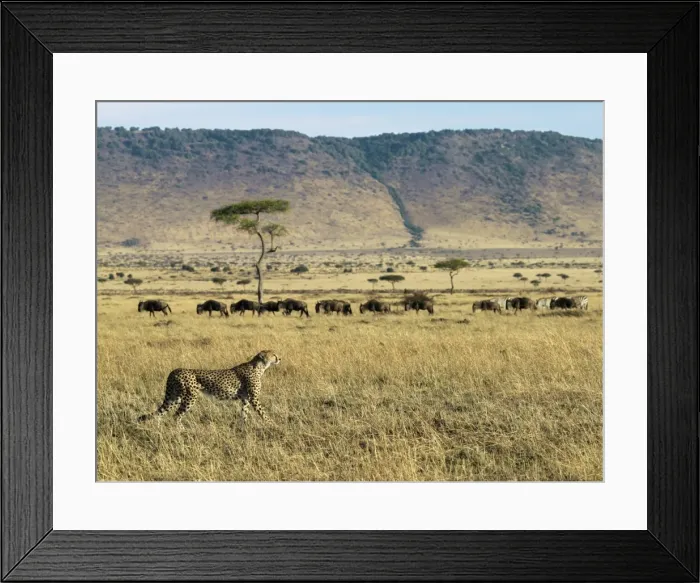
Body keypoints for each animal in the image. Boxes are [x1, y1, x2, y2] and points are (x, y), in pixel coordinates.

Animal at [137, 350, 281, 427]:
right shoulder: (254, 399)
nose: (279, 358)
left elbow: (244, 414)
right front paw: (273, 425)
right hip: (190, 397)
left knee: (162, 412)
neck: (260, 367)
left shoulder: (245, 399)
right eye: (273, 355)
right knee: (176, 415)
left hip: (174, 397)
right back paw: (182, 430)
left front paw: (243, 428)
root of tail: (174, 371)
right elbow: (263, 414)